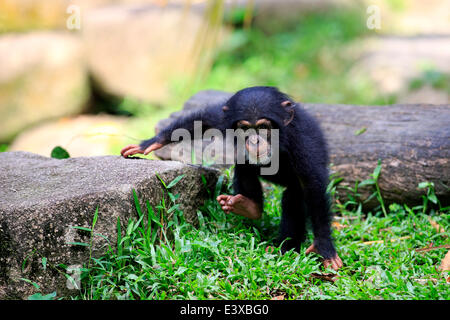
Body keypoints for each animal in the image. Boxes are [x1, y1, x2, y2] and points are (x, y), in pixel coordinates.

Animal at [121, 85, 342, 270]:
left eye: (263, 127)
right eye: (245, 128)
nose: (254, 141)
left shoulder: (303, 144)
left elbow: (313, 188)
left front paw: (324, 247)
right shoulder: (225, 118)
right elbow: (204, 120)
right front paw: (151, 142)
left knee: (294, 195)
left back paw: (285, 247)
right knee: (244, 163)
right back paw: (249, 206)